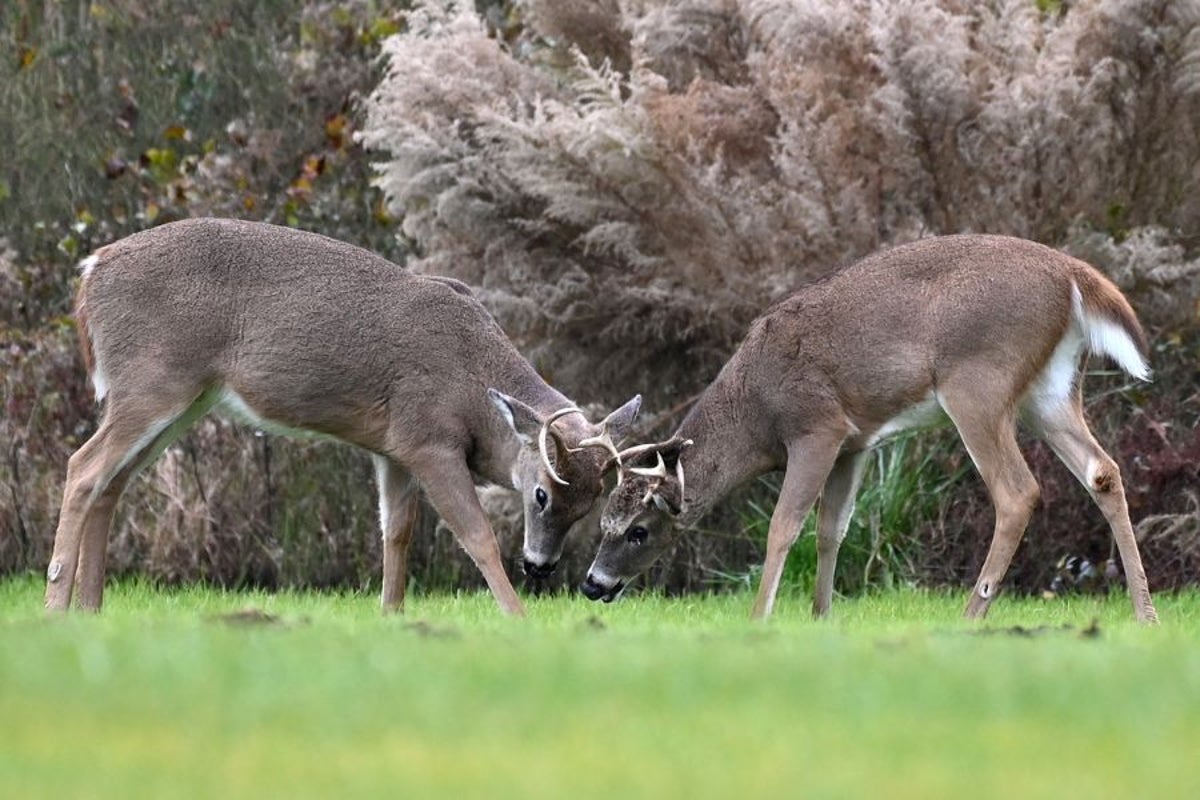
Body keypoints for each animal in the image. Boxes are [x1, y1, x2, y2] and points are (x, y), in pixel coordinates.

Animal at [47, 217, 641, 616]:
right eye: (541, 494)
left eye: (590, 503)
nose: (541, 565)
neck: (473, 385)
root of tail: (91, 272)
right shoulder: (429, 439)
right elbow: (476, 535)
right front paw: (517, 618)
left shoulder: (394, 449)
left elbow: (395, 533)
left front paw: (391, 616)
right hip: (152, 380)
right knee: (83, 467)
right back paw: (56, 606)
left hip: (181, 399)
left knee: (113, 481)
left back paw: (90, 608)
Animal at [581, 234, 1159, 624]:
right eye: (603, 522)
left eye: (638, 530)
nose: (592, 584)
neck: (755, 410)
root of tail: (1073, 275)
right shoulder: (854, 443)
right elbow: (832, 528)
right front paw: (821, 616)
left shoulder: (817, 426)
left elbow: (784, 525)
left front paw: (759, 618)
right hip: (1051, 390)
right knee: (1102, 471)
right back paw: (1144, 612)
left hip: (977, 381)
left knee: (1018, 492)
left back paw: (971, 616)